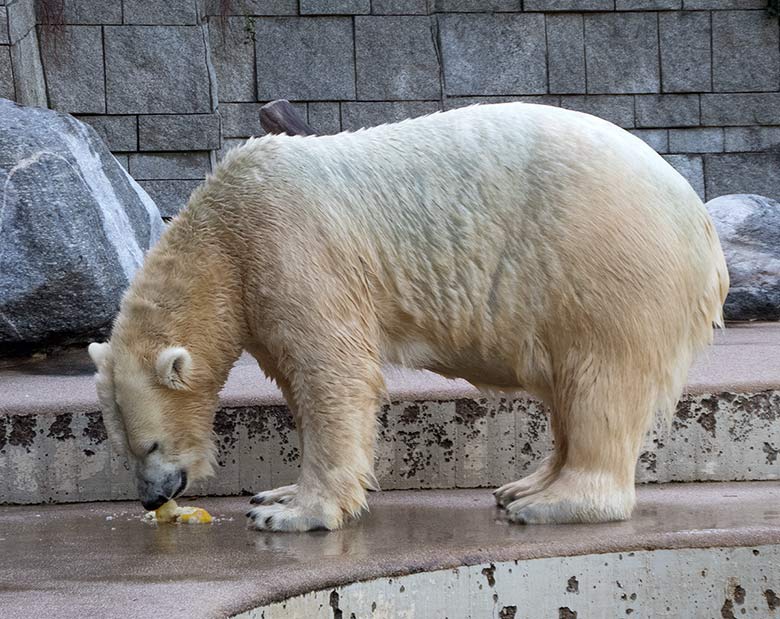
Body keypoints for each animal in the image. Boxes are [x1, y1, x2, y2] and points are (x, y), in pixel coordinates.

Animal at [88, 104, 728, 532]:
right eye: (123, 447)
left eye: (149, 444)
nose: (151, 499)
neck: (224, 229)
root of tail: (699, 223)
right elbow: (296, 378)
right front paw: (274, 494)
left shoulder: (288, 246)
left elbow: (334, 373)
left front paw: (293, 514)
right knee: (571, 390)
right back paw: (522, 486)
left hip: (604, 269)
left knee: (601, 382)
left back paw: (550, 503)